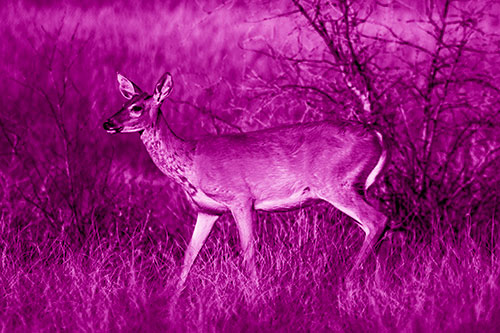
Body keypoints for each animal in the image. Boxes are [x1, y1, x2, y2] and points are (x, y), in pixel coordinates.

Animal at [103, 71, 388, 286]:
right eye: (122, 103)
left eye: (137, 107)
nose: (107, 123)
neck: (190, 161)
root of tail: (378, 137)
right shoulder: (207, 210)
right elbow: (188, 257)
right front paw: (171, 300)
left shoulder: (241, 198)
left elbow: (248, 253)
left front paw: (253, 294)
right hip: (352, 187)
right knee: (374, 226)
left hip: (337, 184)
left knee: (377, 220)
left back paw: (346, 281)